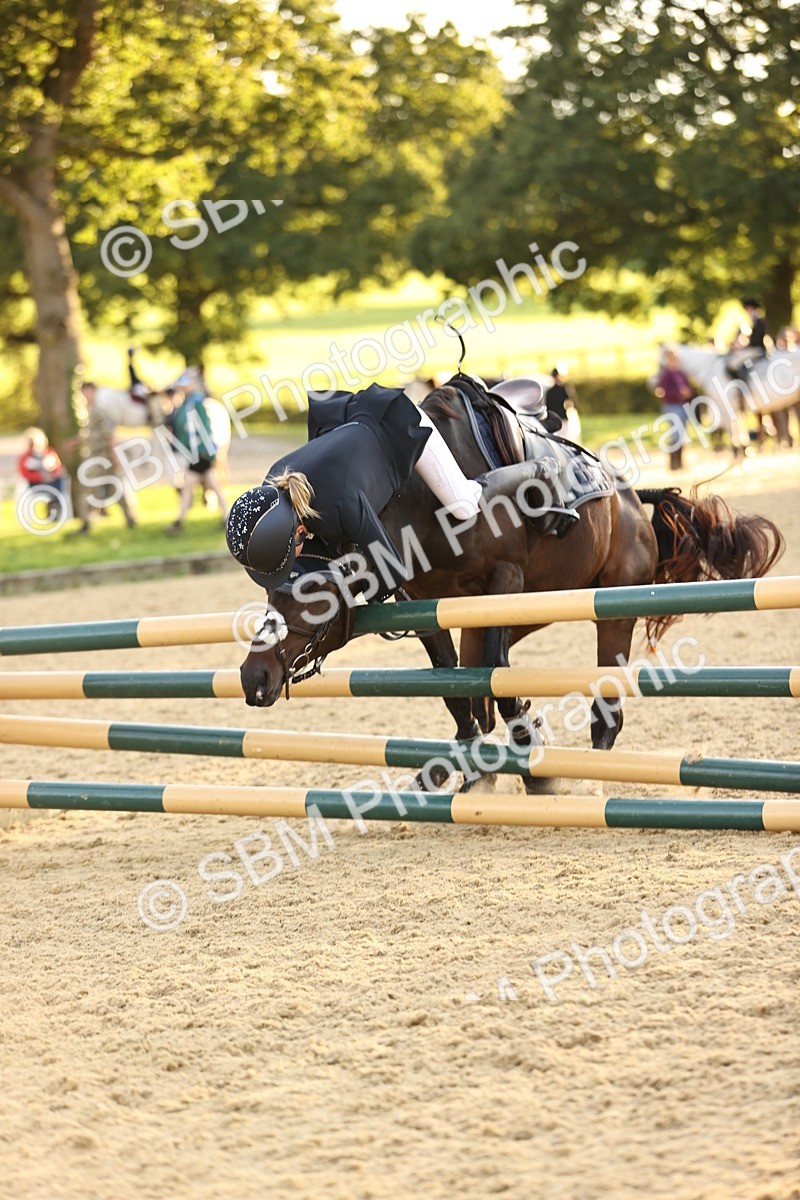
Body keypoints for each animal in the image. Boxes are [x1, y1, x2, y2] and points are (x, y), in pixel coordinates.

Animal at [238, 380, 784, 792]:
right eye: (269, 596)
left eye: (309, 600)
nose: (253, 678)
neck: (414, 504)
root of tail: (631, 495)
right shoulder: (430, 602)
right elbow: (456, 687)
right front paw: (476, 763)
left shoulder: (504, 579)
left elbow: (498, 682)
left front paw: (533, 758)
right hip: (527, 606)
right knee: (481, 670)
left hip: (612, 604)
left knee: (603, 710)